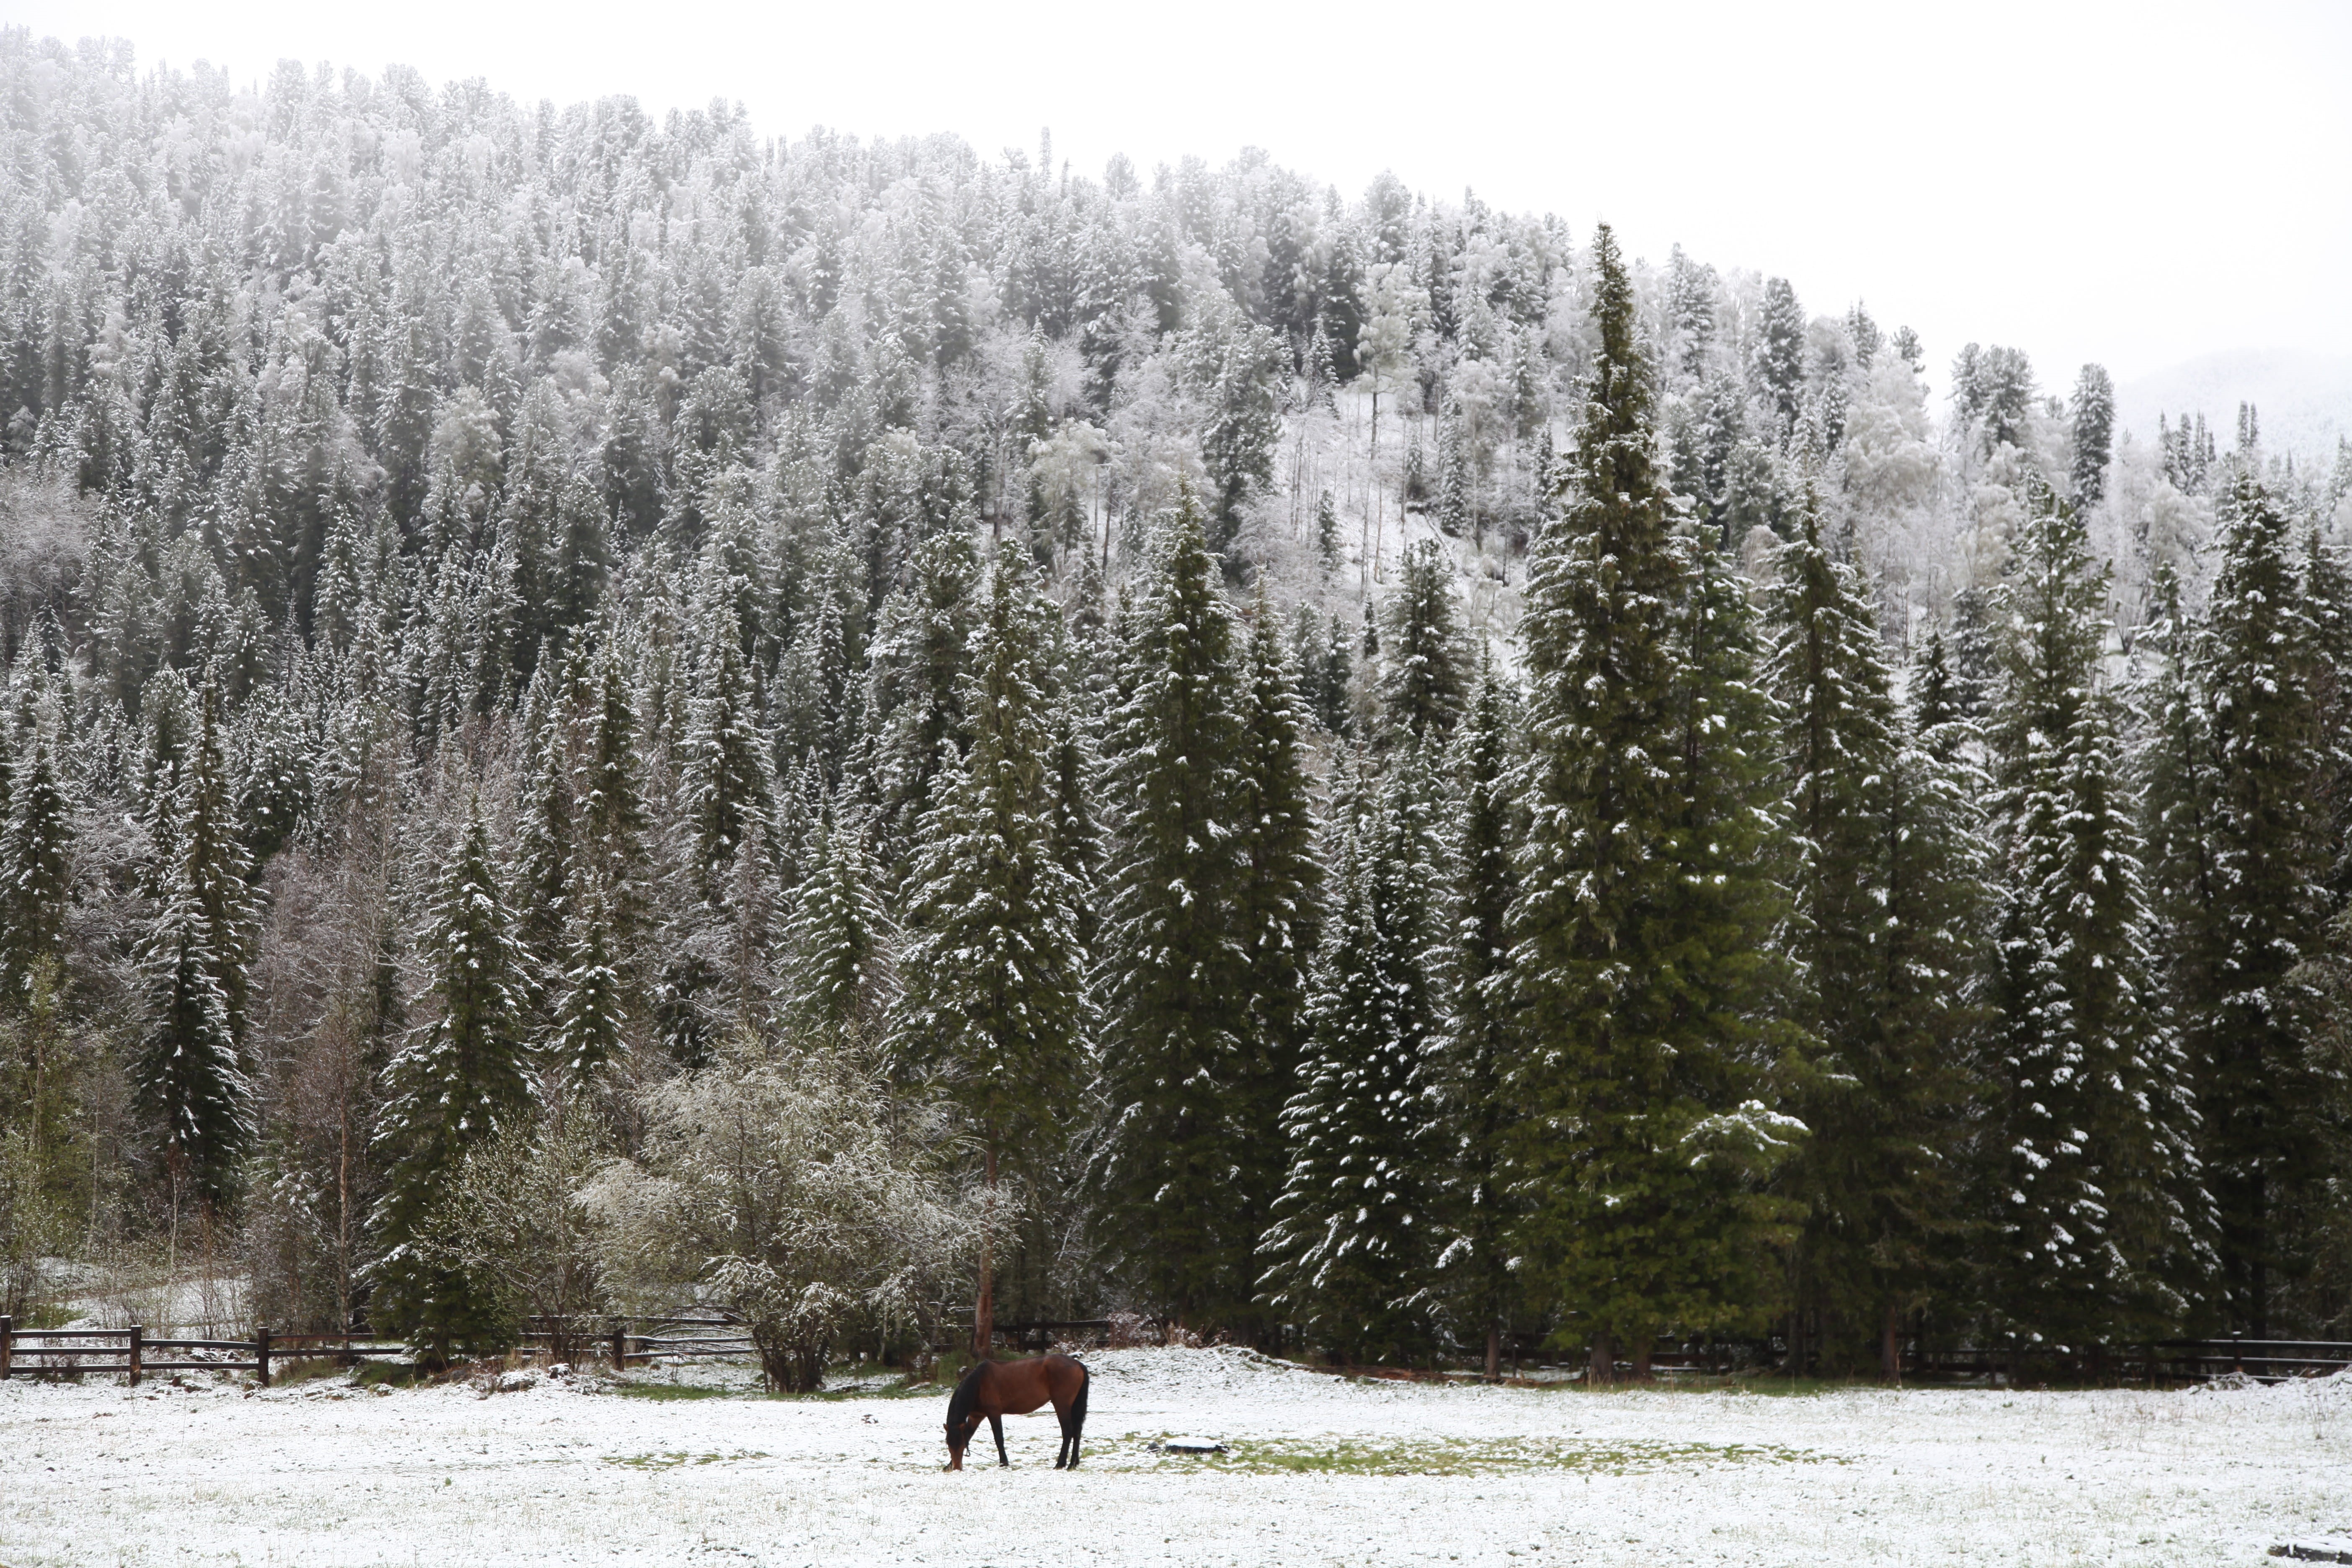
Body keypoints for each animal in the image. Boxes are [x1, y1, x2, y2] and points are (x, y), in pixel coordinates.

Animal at [942, 1353, 1090, 1471]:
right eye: (949, 1444)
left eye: (960, 1444)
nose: (957, 1468)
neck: (979, 1383)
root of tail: (1077, 1364)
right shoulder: (976, 1417)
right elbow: (969, 1434)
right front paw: (948, 1465)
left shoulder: (994, 1413)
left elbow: (999, 1438)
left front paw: (1004, 1463)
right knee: (1077, 1432)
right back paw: (1073, 1463)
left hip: (1062, 1405)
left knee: (1068, 1432)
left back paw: (1061, 1463)